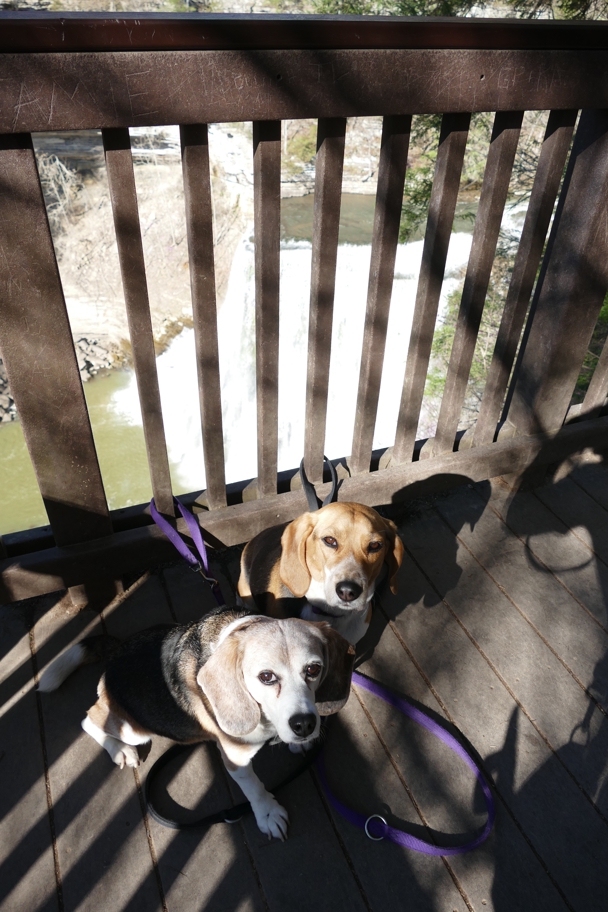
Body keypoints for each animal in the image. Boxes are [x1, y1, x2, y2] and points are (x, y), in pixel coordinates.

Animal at [40, 608, 354, 844]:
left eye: (313, 669)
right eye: (266, 677)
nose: (304, 725)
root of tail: (116, 651)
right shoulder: (236, 758)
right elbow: (253, 787)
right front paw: (267, 813)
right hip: (134, 728)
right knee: (89, 718)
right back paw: (119, 750)